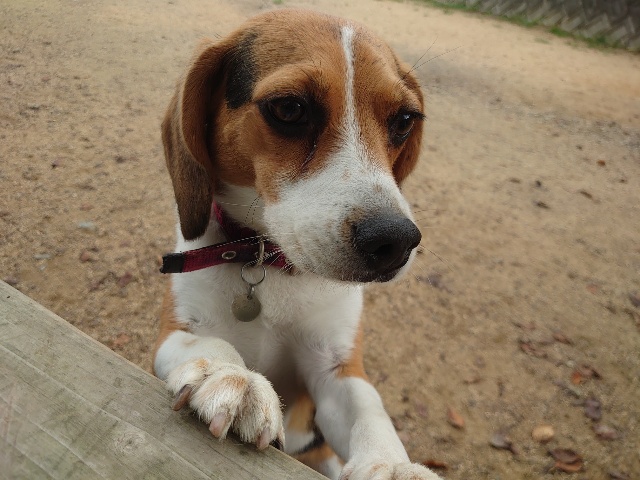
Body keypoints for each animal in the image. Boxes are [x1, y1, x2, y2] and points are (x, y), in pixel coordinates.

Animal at [153, 9, 441, 480]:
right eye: (289, 108)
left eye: (403, 120)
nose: (396, 241)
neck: (267, 265)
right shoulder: (176, 331)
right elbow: (208, 345)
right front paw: (231, 375)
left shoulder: (336, 369)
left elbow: (370, 410)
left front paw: (393, 464)